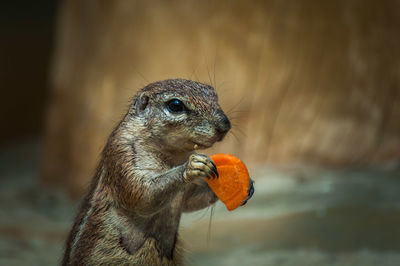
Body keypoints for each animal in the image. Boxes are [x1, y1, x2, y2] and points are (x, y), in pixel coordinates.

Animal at [62, 78, 252, 264]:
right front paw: (193, 166)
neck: (173, 157)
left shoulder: (185, 193)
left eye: (214, 94)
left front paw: (248, 185)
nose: (225, 125)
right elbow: (144, 195)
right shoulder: (122, 156)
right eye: (175, 105)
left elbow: (193, 200)